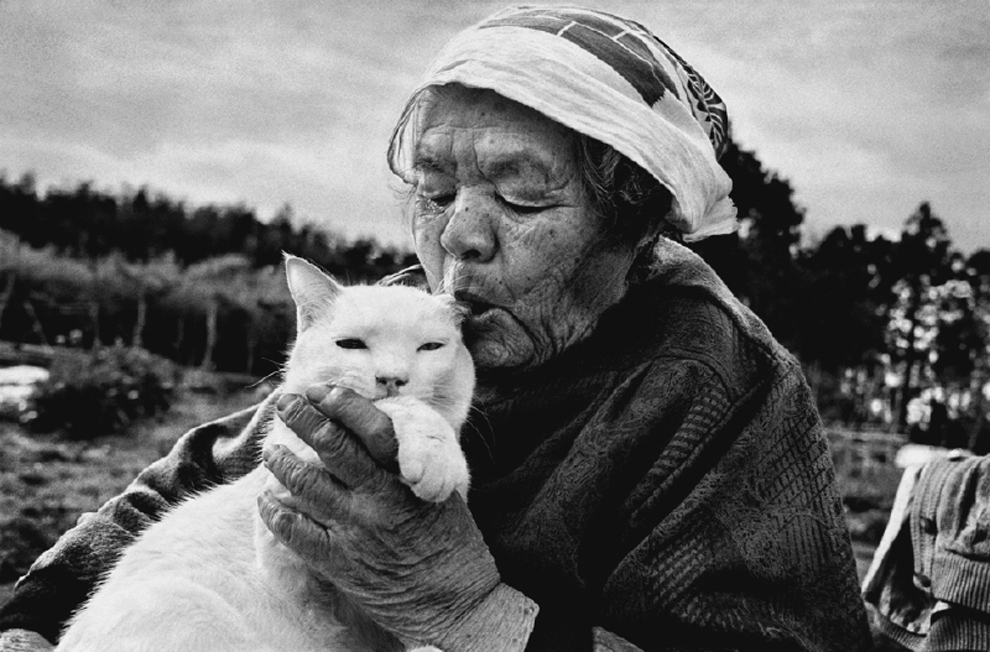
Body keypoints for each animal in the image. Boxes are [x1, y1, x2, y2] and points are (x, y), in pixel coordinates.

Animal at [57, 256, 476, 652]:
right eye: (352, 344)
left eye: (430, 347)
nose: (392, 379)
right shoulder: (283, 541)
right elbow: (392, 409)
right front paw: (434, 450)